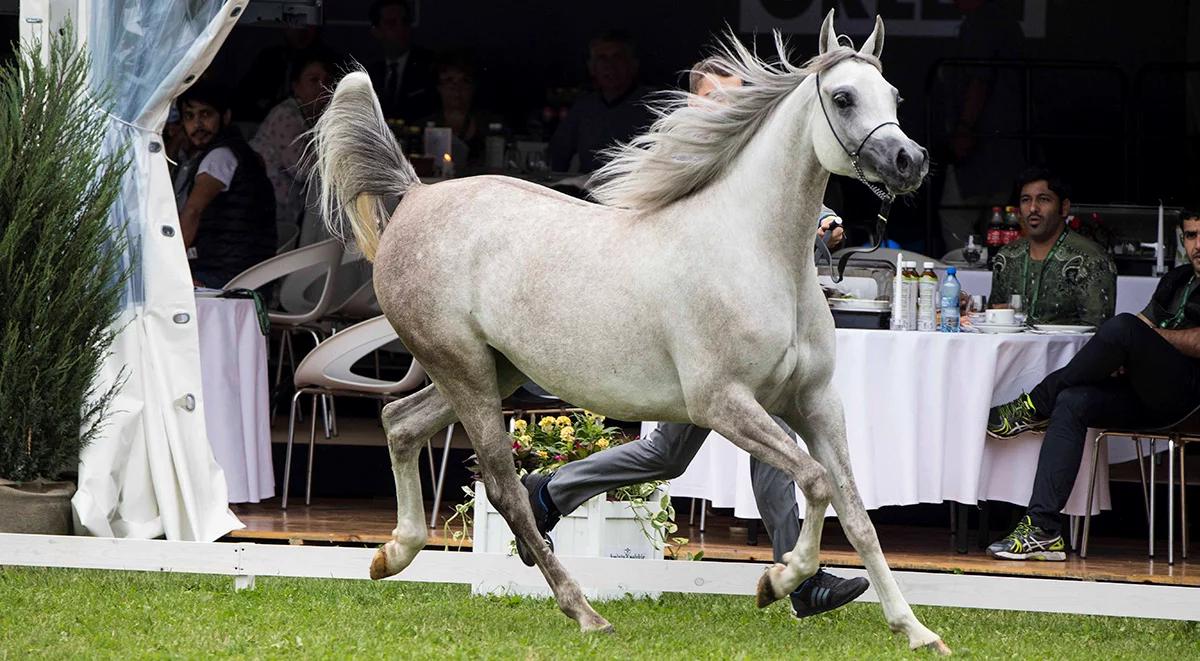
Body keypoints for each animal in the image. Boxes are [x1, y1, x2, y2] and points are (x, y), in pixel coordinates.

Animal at [314, 11, 950, 657]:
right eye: (844, 98)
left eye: (894, 95)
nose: (910, 161)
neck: (756, 253)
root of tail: (416, 197)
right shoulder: (725, 404)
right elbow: (816, 483)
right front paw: (776, 582)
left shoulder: (814, 402)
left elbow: (856, 512)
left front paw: (915, 630)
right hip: (463, 369)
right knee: (502, 486)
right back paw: (585, 612)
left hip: (491, 371)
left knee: (400, 423)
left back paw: (392, 555)